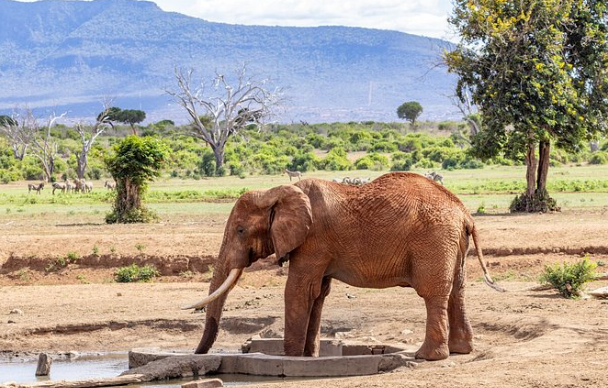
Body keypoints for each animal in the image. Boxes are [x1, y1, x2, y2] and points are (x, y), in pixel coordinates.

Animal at [185, 172, 504, 360]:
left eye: (240, 230)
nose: (197, 354)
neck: (275, 191)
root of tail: (464, 213)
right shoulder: (318, 248)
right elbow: (317, 293)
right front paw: (308, 357)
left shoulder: (312, 240)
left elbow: (298, 289)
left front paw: (289, 358)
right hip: (452, 242)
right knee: (457, 291)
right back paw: (461, 351)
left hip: (434, 239)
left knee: (433, 293)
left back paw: (426, 356)